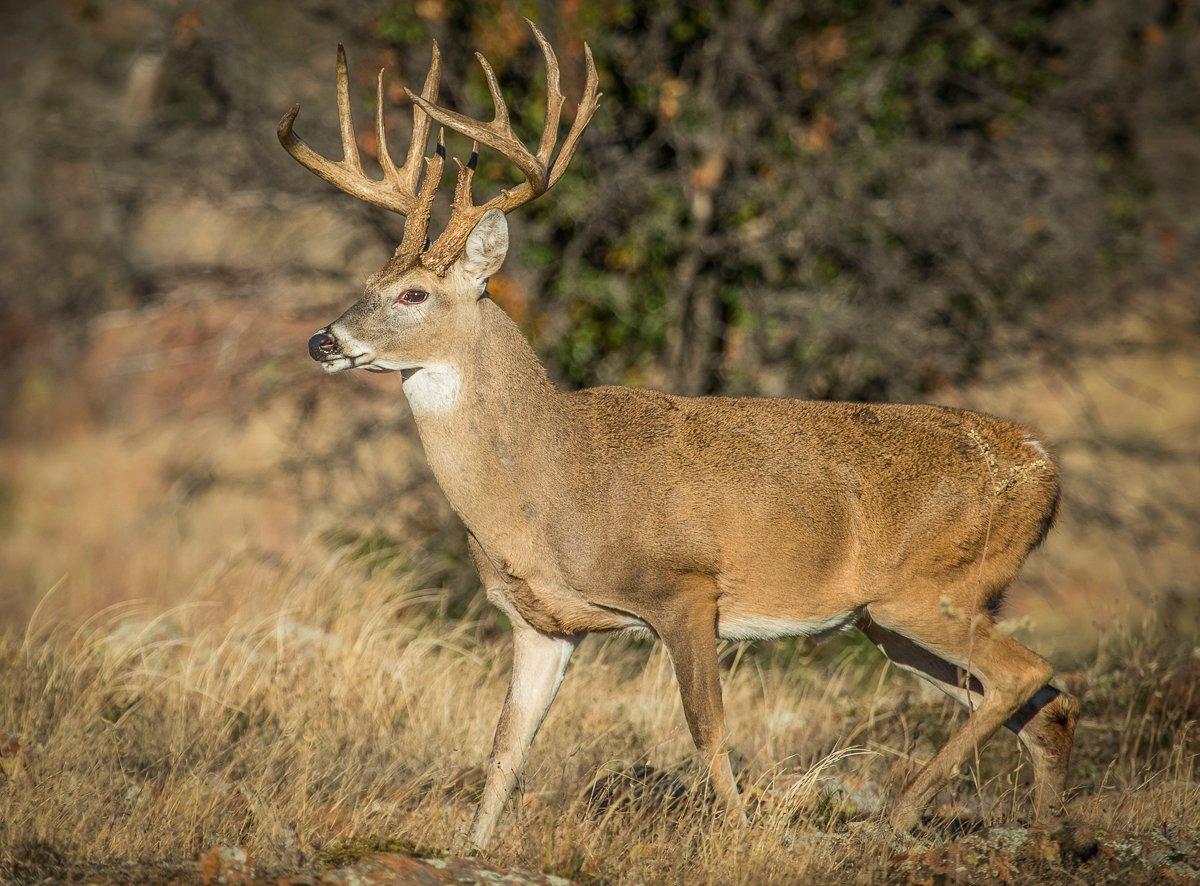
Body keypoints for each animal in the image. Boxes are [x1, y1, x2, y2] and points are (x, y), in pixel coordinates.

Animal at [278, 24, 1080, 845]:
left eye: (414, 294)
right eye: (366, 283)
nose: (323, 340)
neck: (542, 486)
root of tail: (1045, 468)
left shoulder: (684, 589)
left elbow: (707, 729)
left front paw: (738, 837)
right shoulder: (542, 624)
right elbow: (505, 748)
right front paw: (470, 848)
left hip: (930, 590)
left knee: (1028, 676)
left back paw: (903, 812)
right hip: (889, 620)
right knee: (1044, 705)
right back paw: (1047, 841)